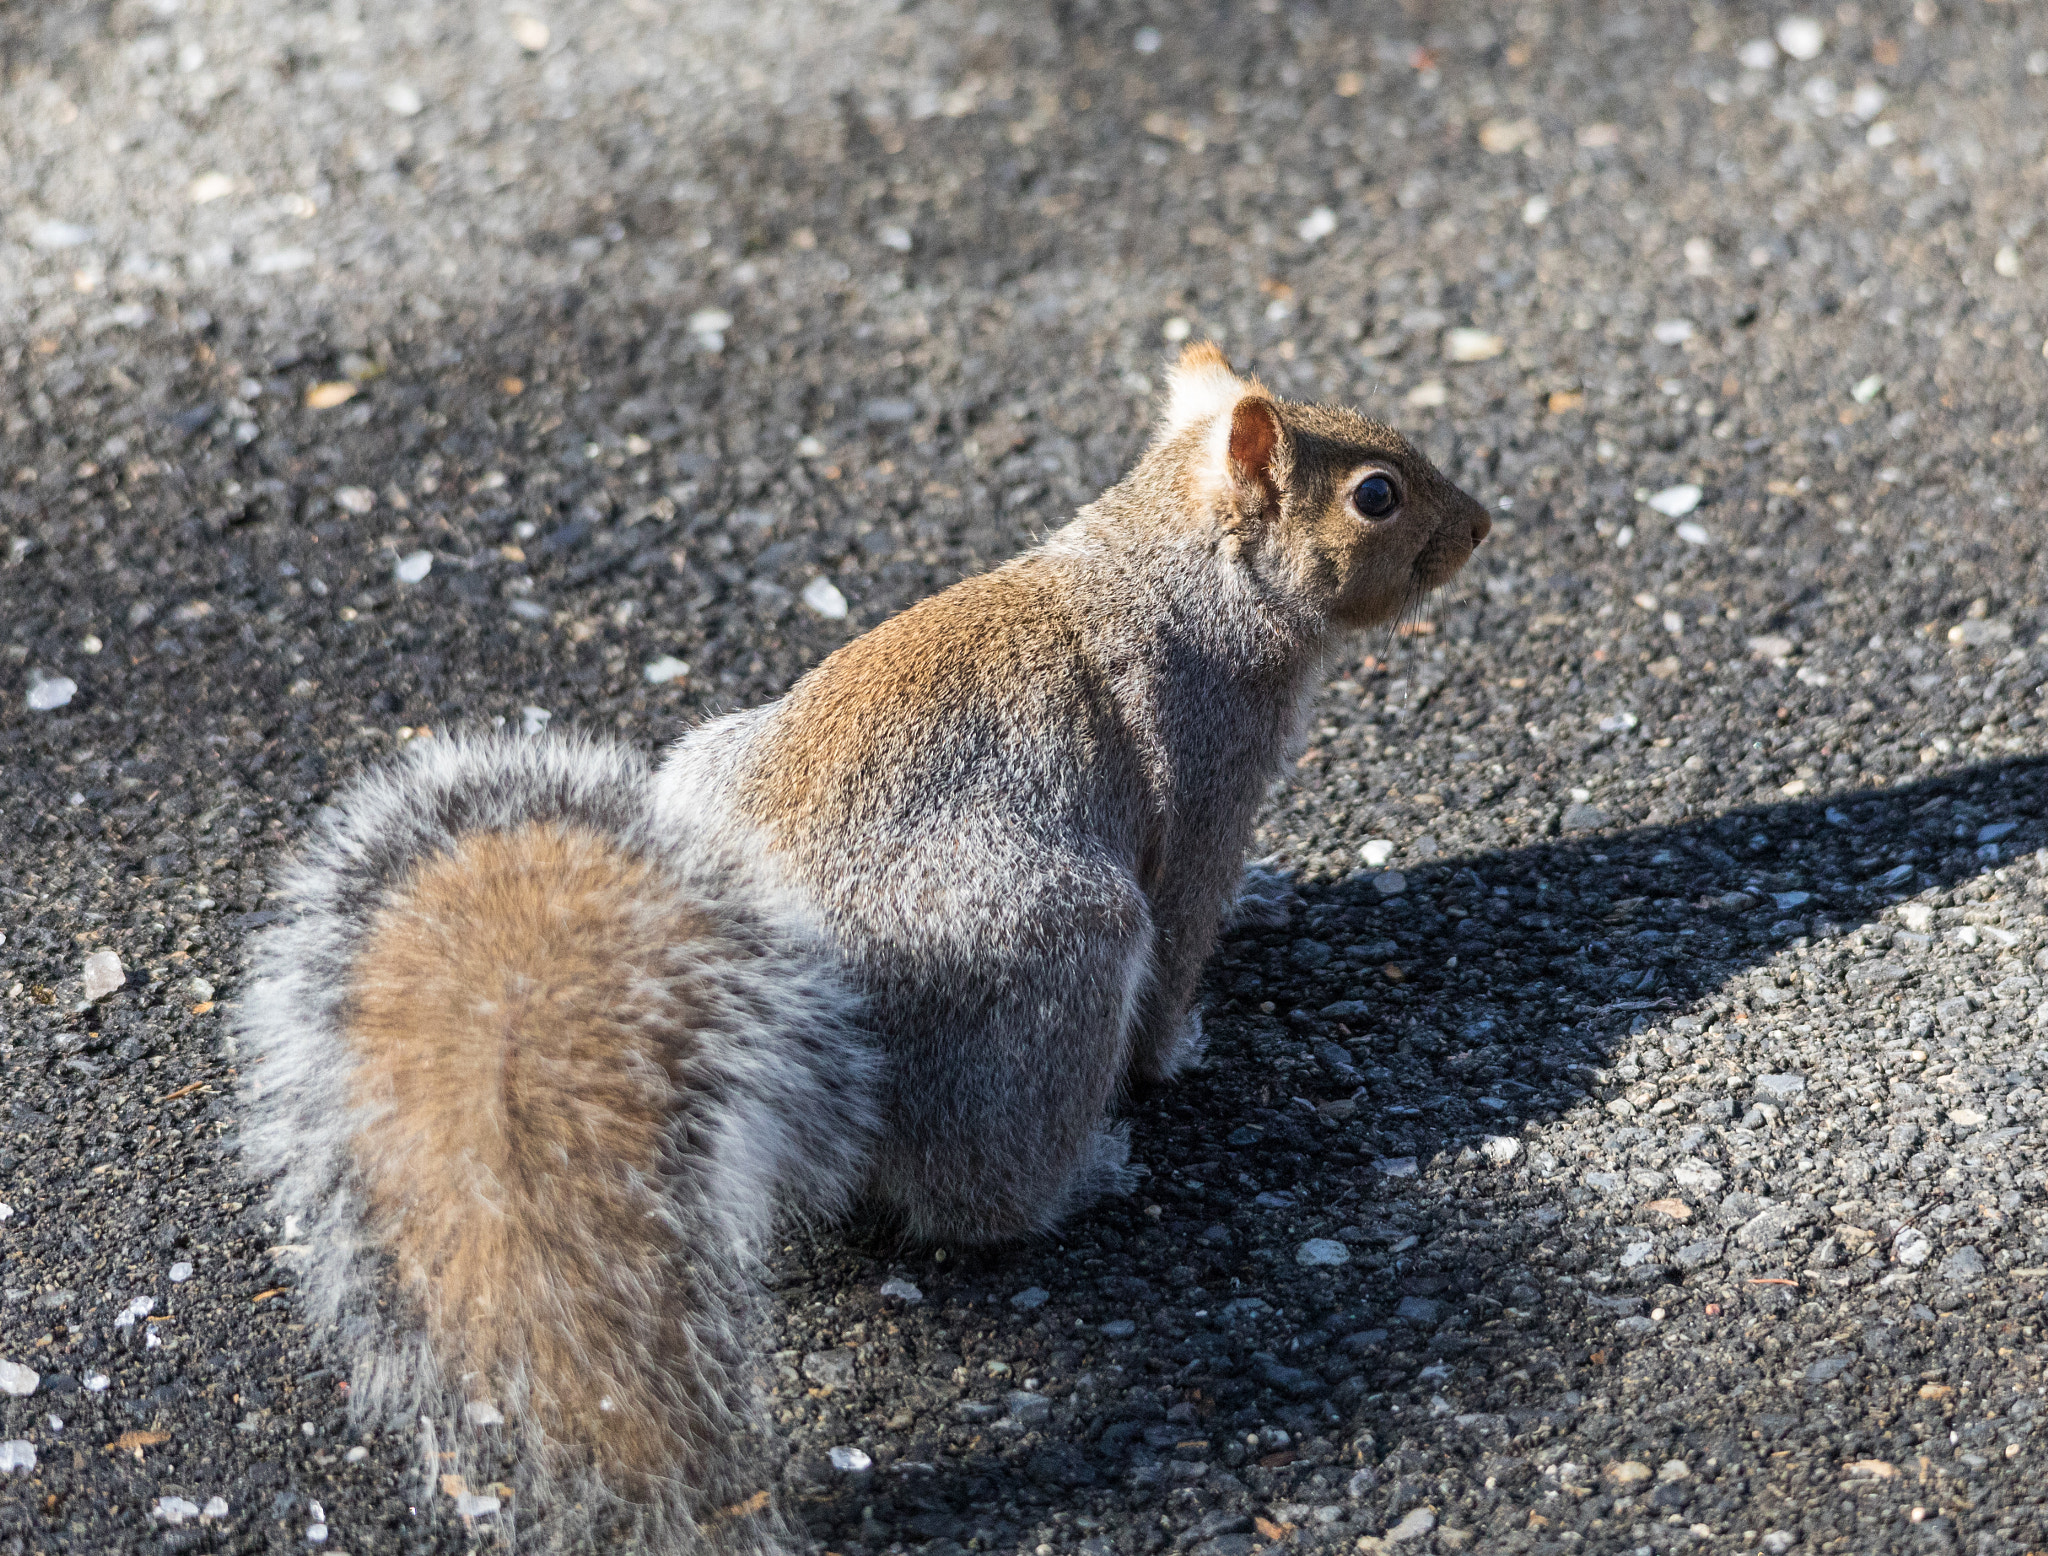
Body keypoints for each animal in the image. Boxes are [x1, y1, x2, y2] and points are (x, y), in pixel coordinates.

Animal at [235, 343, 1490, 1556]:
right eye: (1376, 495)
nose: (1481, 524)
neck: (1168, 568)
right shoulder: (1202, 780)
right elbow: (1181, 943)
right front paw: (1180, 1047)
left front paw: (1272, 899)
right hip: (1059, 945)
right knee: (976, 1191)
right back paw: (1087, 1168)